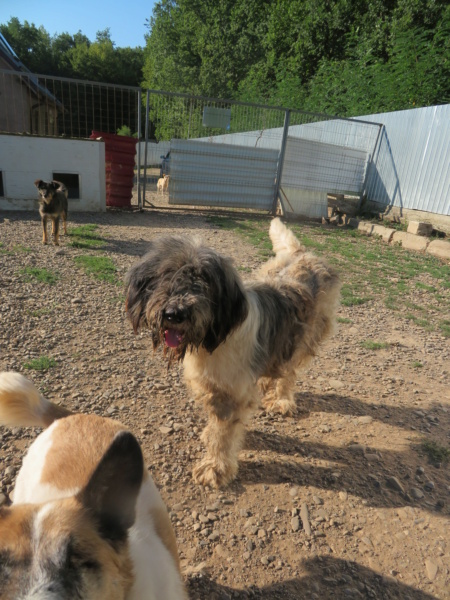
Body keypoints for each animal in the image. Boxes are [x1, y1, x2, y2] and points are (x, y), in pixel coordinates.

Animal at [125, 218, 340, 490]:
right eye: (165, 274)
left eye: (204, 281)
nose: (174, 313)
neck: (212, 339)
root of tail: (302, 254)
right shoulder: (212, 387)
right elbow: (216, 425)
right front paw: (209, 436)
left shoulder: (232, 394)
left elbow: (224, 435)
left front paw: (214, 468)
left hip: (302, 337)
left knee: (288, 372)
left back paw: (281, 399)